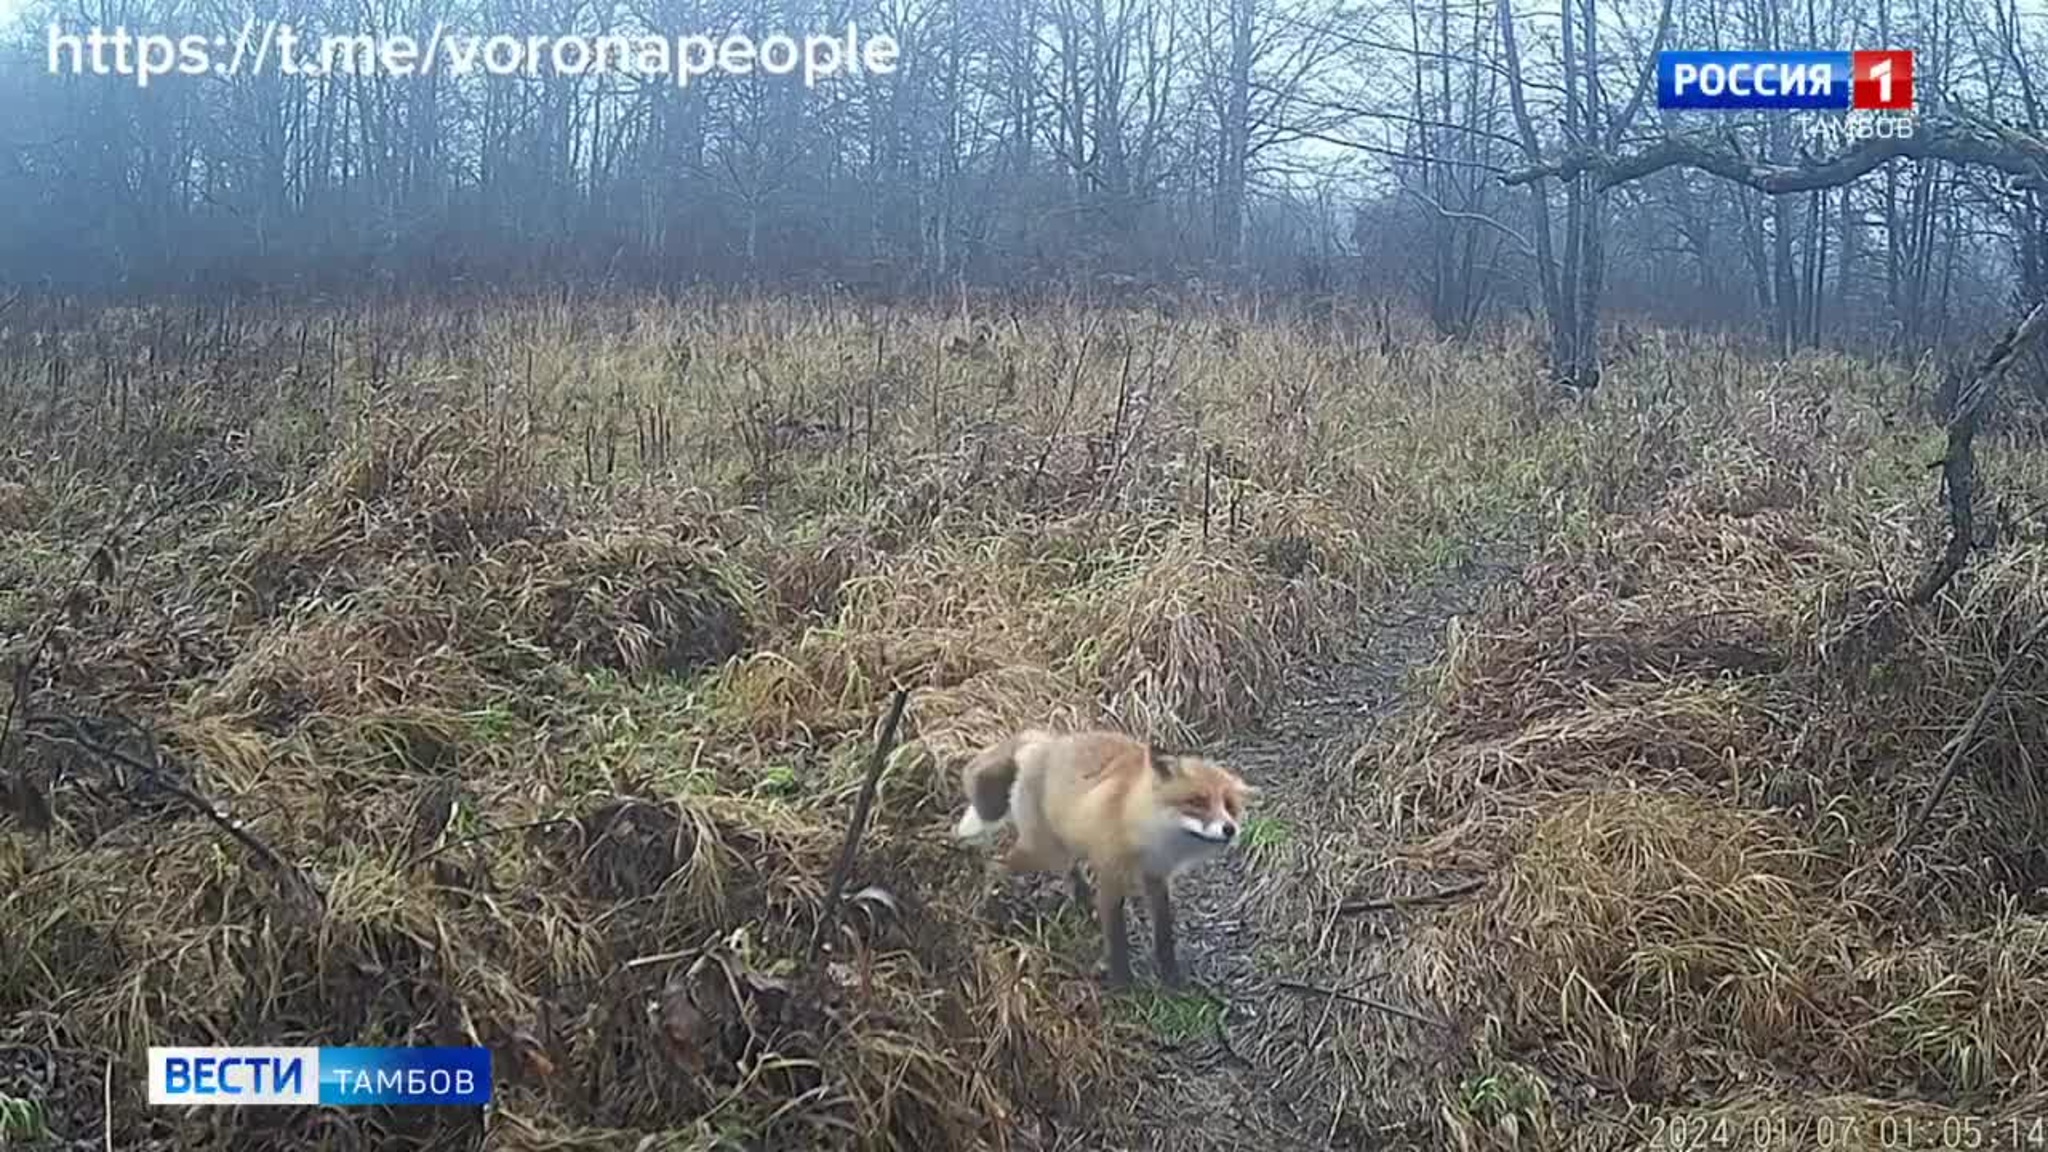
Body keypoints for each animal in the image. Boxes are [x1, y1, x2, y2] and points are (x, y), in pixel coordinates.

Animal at [953, 728, 1258, 989]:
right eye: (1197, 802)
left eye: (1230, 807)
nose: (1230, 829)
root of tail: (1042, 742)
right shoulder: (1112, 875)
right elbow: (1116, 936)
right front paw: (1123, 985)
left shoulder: (1156, 878)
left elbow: (1164, 933)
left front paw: (1170, 977)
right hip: (1041, 852)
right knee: (995, 866)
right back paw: (988, 909)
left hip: (1064, 848)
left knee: (1072, 877)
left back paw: (1084, 908)